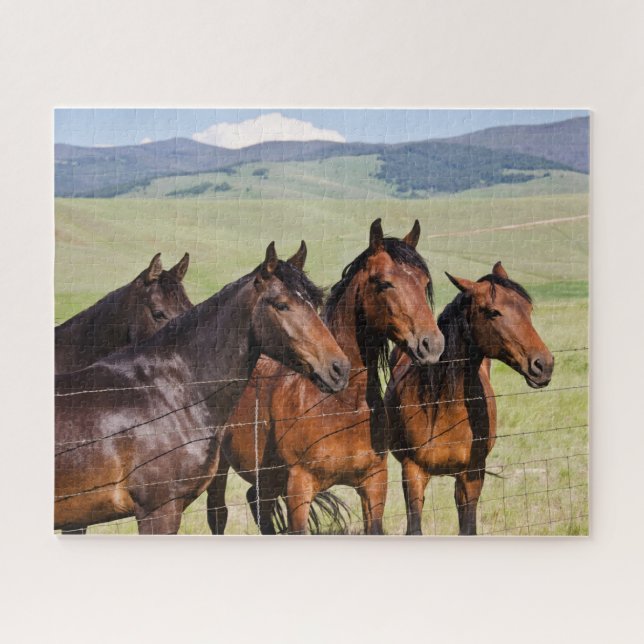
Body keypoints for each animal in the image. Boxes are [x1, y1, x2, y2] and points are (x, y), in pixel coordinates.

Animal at [206, 219, 444, 535]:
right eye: (384, 283)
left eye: (424, 282)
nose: (432, 344)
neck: (340, 403)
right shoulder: (299, 487)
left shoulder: (374, 483)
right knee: (218, 514)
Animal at [385, 262, 555, 535]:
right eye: (493, 312)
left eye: (528, 309)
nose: (543, 365)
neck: (443, 406)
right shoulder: (412, 473)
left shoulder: (472, 475)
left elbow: (468, 527)